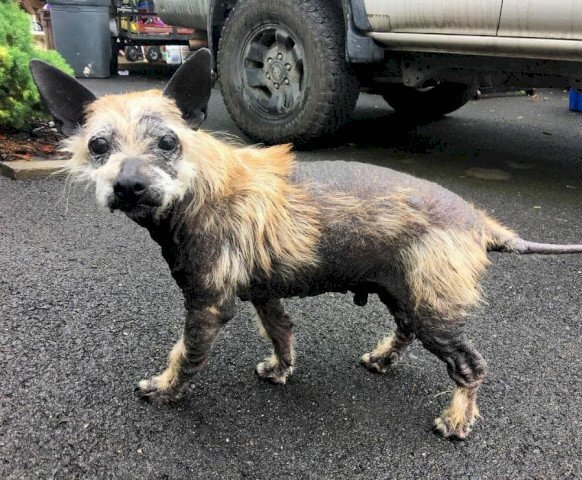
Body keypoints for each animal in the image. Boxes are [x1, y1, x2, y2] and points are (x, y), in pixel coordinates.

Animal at [28, 48, 582, 438]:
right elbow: (281, 332)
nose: (129, 186)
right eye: (98, 146)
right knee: (405, 329)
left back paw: (459, 419)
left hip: (435, 311)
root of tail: (479, 221)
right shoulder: (262, 293)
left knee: (471, 366)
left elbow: (185, 354)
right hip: (404, 292)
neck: (196, 188)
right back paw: (384, 359)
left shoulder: (208, 305)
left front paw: (166, 390)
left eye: (168, 142)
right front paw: (281, 368)